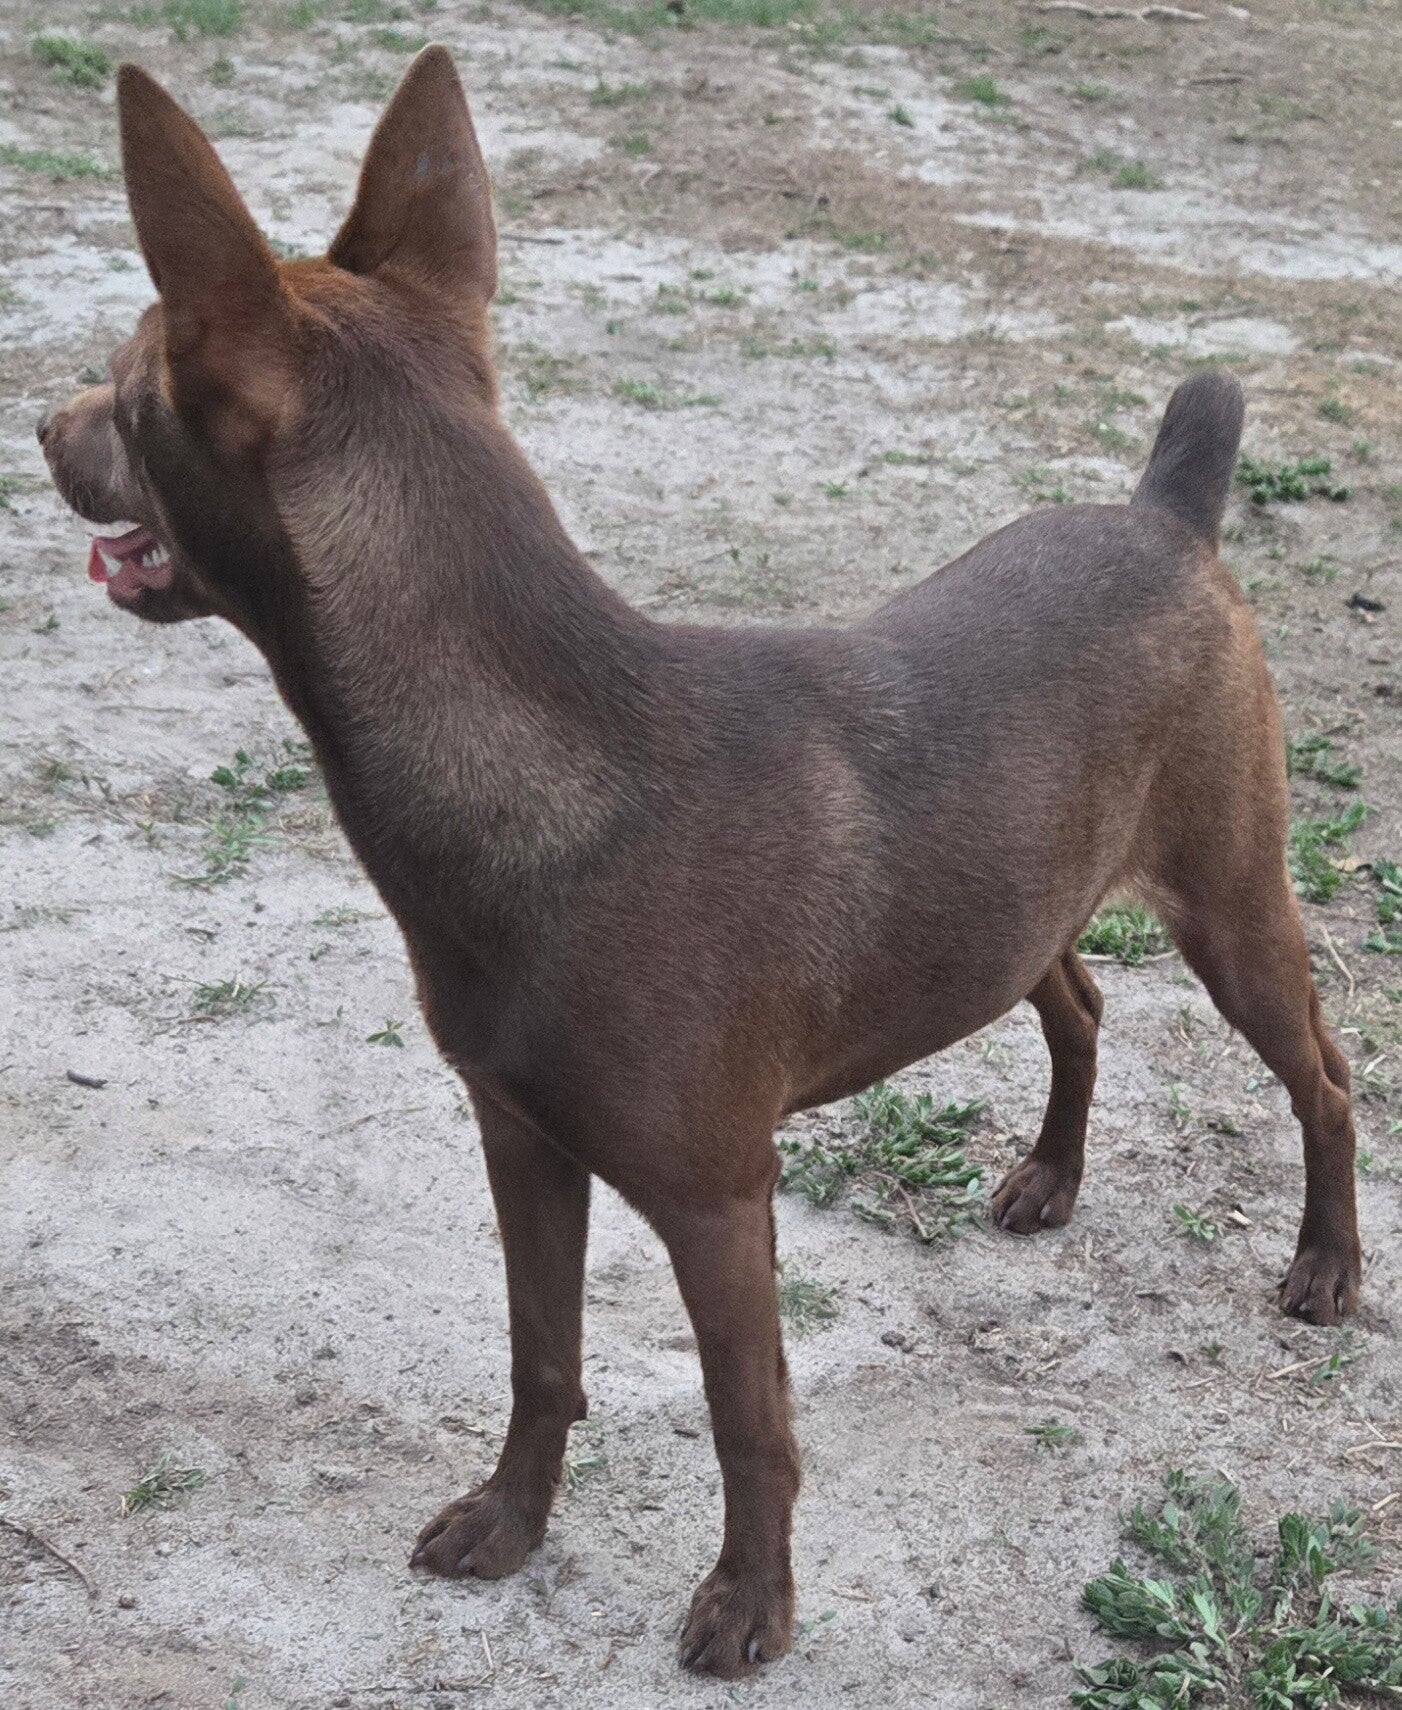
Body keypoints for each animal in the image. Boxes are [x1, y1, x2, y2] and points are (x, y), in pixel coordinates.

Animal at [39, 47, 1362, 1679]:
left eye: (127, 386)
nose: (42, 426)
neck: (555, 764)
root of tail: (1167, 511)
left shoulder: (720, 1204)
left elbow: (751, 1423)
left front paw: (750, 1604)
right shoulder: (519, 1139)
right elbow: (542, 1356)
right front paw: (511, 1520)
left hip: (1233, 907)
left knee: (1322, 1075)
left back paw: (1324, 1266)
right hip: (1023, 900)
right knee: (1077, 1004)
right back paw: (1051, 1176)